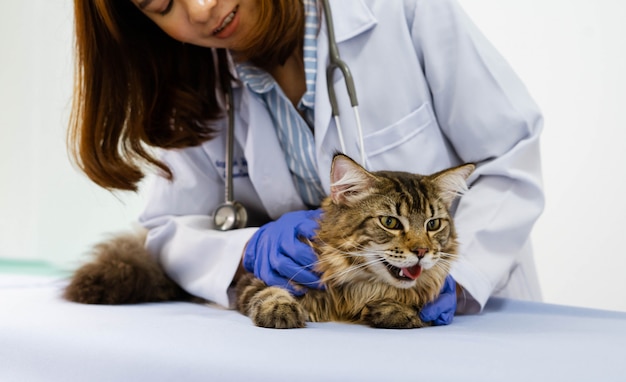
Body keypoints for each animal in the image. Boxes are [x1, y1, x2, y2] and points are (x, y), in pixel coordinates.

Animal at [236, 154, 470, 330]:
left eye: (433, 224)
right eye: (390, 222)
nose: (422, 251)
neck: (361, 288)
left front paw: (396, 309)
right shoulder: (252, 279)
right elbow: (270, 291)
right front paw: (279, 308)